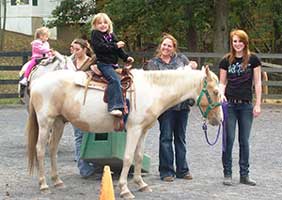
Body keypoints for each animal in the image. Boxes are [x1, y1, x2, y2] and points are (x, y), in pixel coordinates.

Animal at [25, 65, 223, 198]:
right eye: (215, 91)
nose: (220, 120)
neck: (152, 89)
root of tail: (37, 82)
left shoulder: (143, 131)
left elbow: (138, 156)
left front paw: (141, 184)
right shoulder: (134, 129)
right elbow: (128, 158)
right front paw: (125, 189)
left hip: (59, 122)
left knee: (52, 150)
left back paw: (57, 181)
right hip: (45, 122)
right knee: (40, 150)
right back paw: (43, 185)